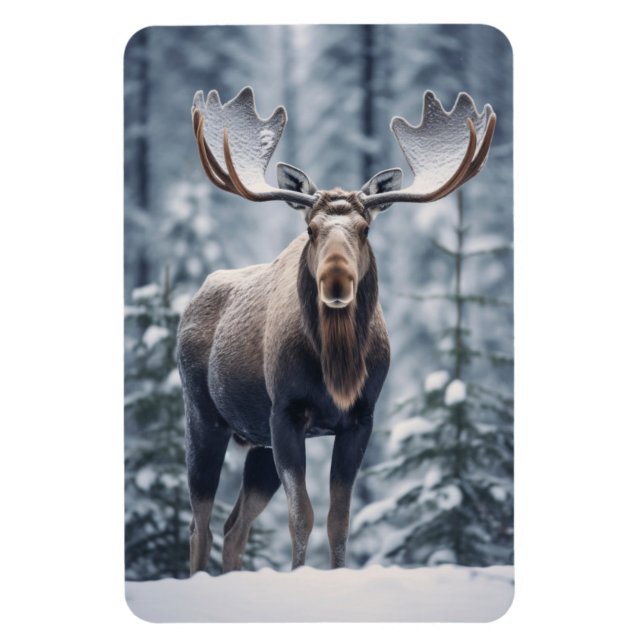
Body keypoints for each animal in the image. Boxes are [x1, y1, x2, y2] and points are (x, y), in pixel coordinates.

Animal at [177, 86, 496, 574]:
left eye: (365, 228)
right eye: (311, 229)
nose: (336, 281)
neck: (338, 368)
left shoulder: (359, 419)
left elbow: (339, 520)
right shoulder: (286, 414)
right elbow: (302, 516)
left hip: (257, 443)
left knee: (234, 528)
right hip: (203, 417)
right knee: (200, 524)